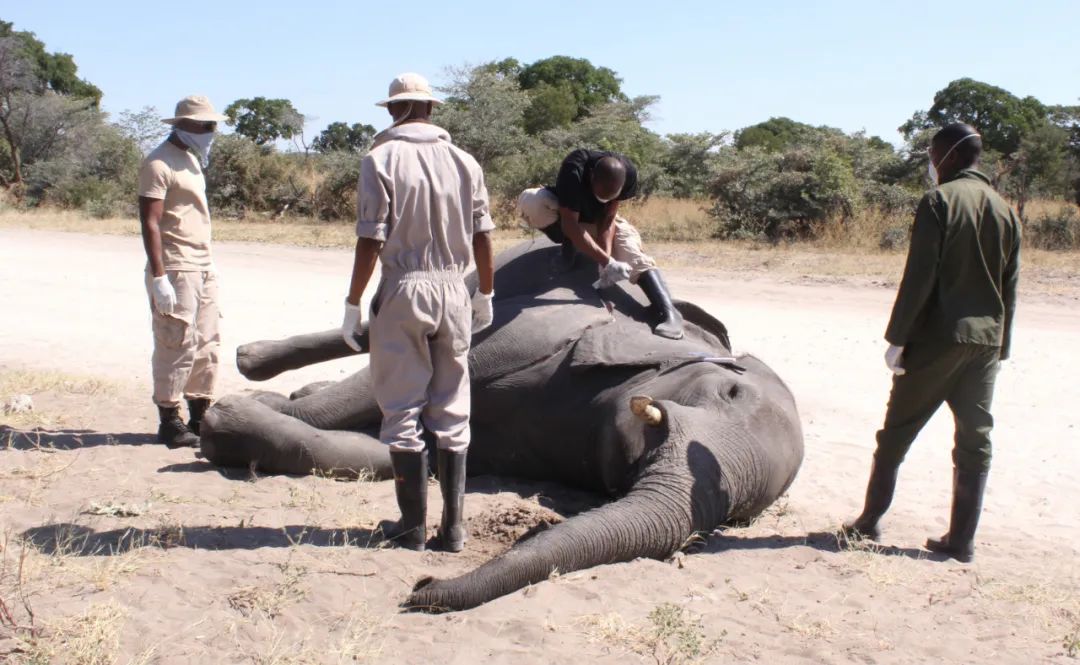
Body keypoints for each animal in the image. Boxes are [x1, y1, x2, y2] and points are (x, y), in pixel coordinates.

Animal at [198, 237, 803, 613]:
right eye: (729, 392)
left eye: (744, 515)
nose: (423, 582)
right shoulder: (545, 335)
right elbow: (387, 385)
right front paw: (232, 411)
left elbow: (405, 451)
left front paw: (236, 418)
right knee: (381, 327)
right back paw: (254, 363)